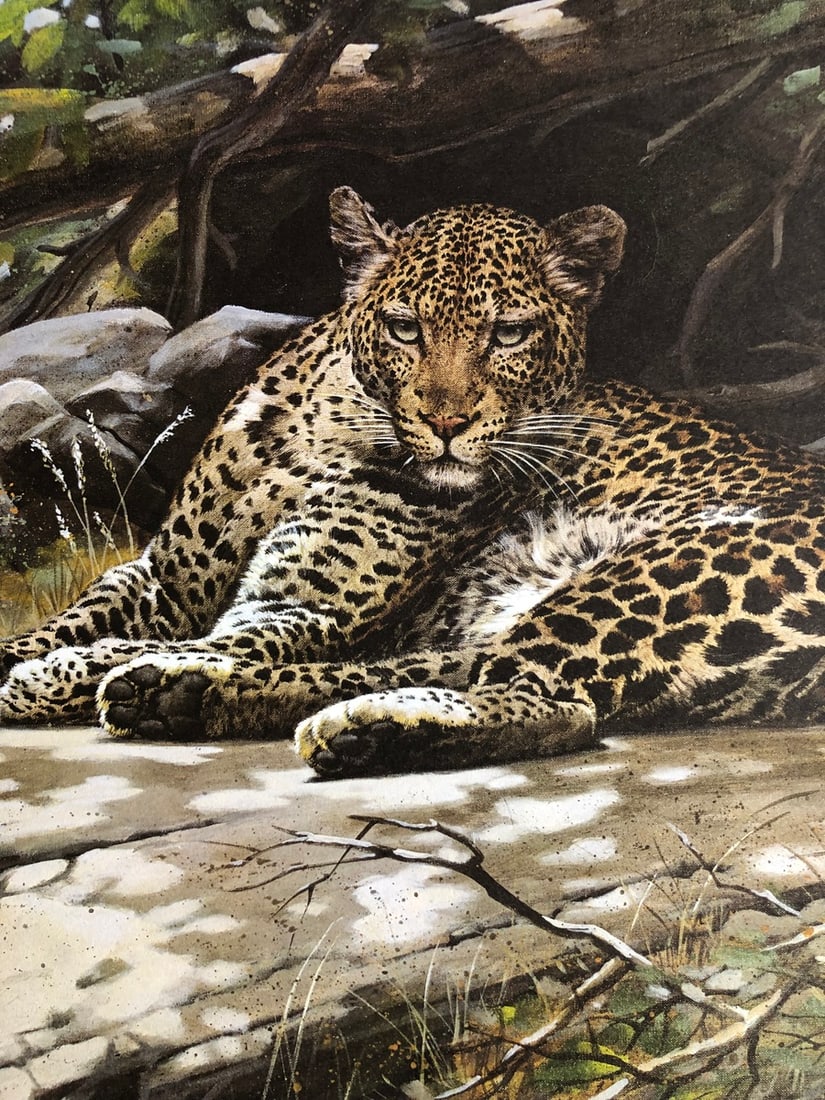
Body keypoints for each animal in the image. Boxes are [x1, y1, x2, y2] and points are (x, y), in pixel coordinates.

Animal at [3, 185, 825, 778]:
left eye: (508, 333)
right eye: (405, 328)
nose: (447, 421)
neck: (320, 435)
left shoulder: (304, 607)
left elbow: (226, 638)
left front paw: (67, 674)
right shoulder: (163, 578)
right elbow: (76, 621)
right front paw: (37, 658)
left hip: (656, 570)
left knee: (546, 698)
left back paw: (272, 711)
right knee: (465, 672)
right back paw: (186, 696)